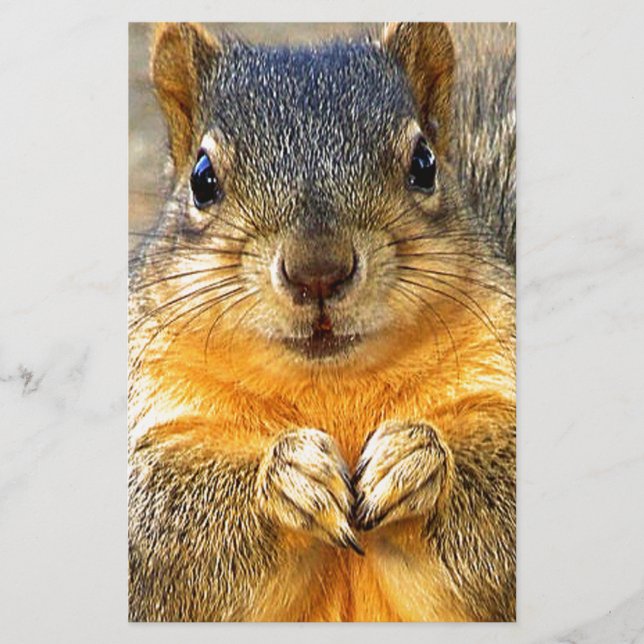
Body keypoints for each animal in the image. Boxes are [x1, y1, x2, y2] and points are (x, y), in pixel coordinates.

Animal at [128, 22, 516, 622]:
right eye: (202, 178)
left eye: (424, 164)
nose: (317, 271)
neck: (330, 387)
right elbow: (154, 524)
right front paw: (287, 475)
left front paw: (417, 459)